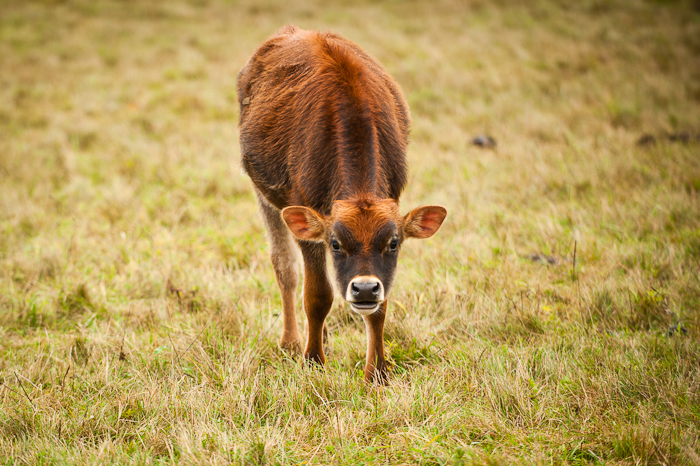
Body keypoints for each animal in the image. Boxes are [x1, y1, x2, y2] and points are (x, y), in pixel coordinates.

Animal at [239, 25, 448, 382]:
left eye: (394, 243)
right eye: (336, 243)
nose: (363, 289)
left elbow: (381, 306)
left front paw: (377, 372)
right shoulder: (306, 221)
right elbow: (317, 294)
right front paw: (312, 361)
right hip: (264, 195)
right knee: (286, 268)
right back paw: (292, 343)